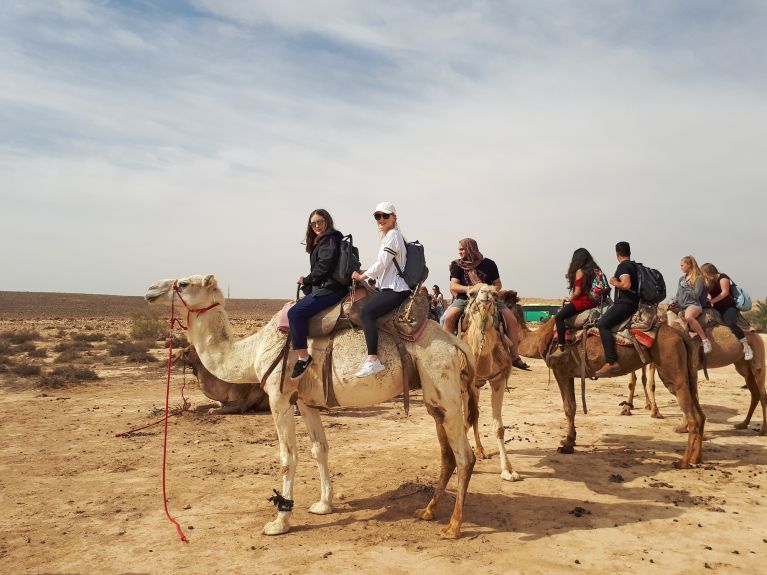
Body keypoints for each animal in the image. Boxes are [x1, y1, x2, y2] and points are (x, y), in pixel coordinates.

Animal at [146, 276, 474, 540]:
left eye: (183, 283)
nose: (150, 290)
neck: (252, 351)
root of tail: (454, 341)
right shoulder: (305, 402)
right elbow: (320, 448)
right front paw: (323, 505)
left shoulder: (278, 397)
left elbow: (287, 458)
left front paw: (279, 521)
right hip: (434, 399)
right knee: (447, 454)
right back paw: (428, 511)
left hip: (444, 386)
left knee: (464, 455)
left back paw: (453, 527)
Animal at [462, 286, 520, 482]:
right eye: (471, 293)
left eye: (495, 293)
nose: (485, 292)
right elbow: (464, 421)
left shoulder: (498, 380)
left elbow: (499, 428)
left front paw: (508, 471)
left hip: (477, 387)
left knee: (475, 415)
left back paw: (481, 451)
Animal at [512, 306, 704, 468]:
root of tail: (680, 335)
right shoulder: (571, 373)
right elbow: (573, 406)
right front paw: (570, 441)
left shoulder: (560, 370)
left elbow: (568, 407)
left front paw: (566, 445)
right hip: (687, 372)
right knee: (700, 414)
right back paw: (696, 459)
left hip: (672, 368)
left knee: (692, 416)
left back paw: (683, 462)